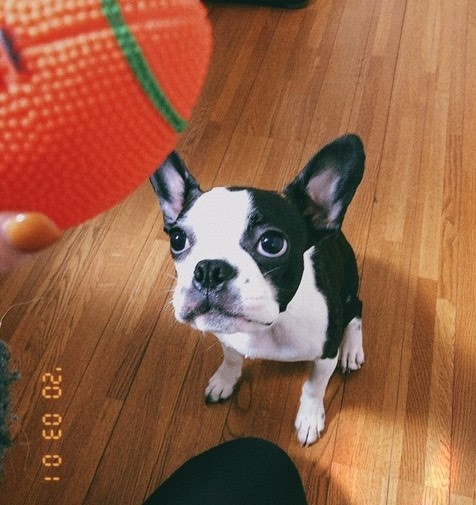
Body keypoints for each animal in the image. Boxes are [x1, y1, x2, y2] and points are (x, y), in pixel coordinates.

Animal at [150, 134, 366, 446]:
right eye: (177, 240)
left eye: (272, 244)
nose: (209, 270)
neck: (269, 327)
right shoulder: (227, 337)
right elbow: (231, 358)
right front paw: (224, 380)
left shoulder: (326, 353)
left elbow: (314, 386)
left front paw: (309, 418)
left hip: (348, 292)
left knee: (357, 309)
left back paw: (352, 349)